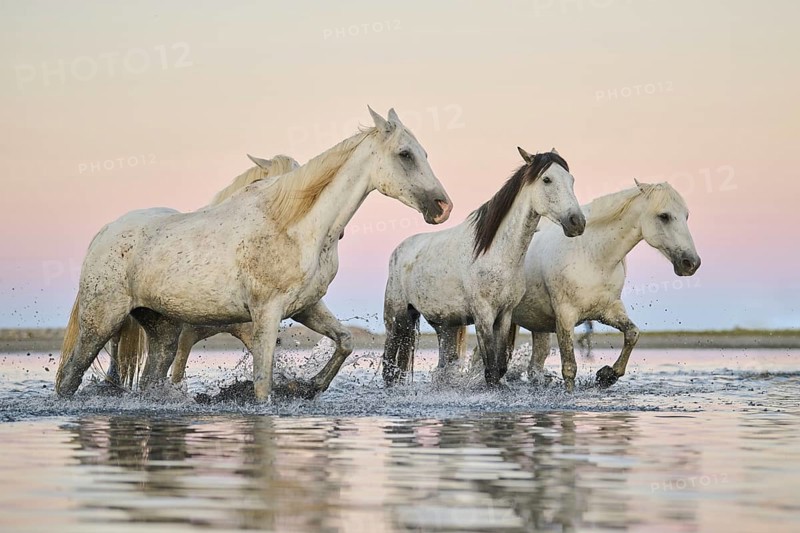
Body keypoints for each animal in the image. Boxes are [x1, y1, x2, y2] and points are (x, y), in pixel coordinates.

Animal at [381, 148, 585, 388]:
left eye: (571, 180)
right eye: (547, 179)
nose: (577, 222)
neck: (496, 254)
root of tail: (398, 251)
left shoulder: (504, 315)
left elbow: (500, 366)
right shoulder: (484, 315)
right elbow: (491, 370)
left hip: (440, 325)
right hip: (396, 319)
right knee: (388, 367)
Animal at [472, 180, 700, 392]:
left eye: (687, 216)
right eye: (664, 216)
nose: (691, 263)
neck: (593, 256)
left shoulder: (608, 311)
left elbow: (632, 334)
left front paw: (607, 376)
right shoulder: (565, 317)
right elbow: (569, 367)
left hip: (533, 326)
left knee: (534, 367)